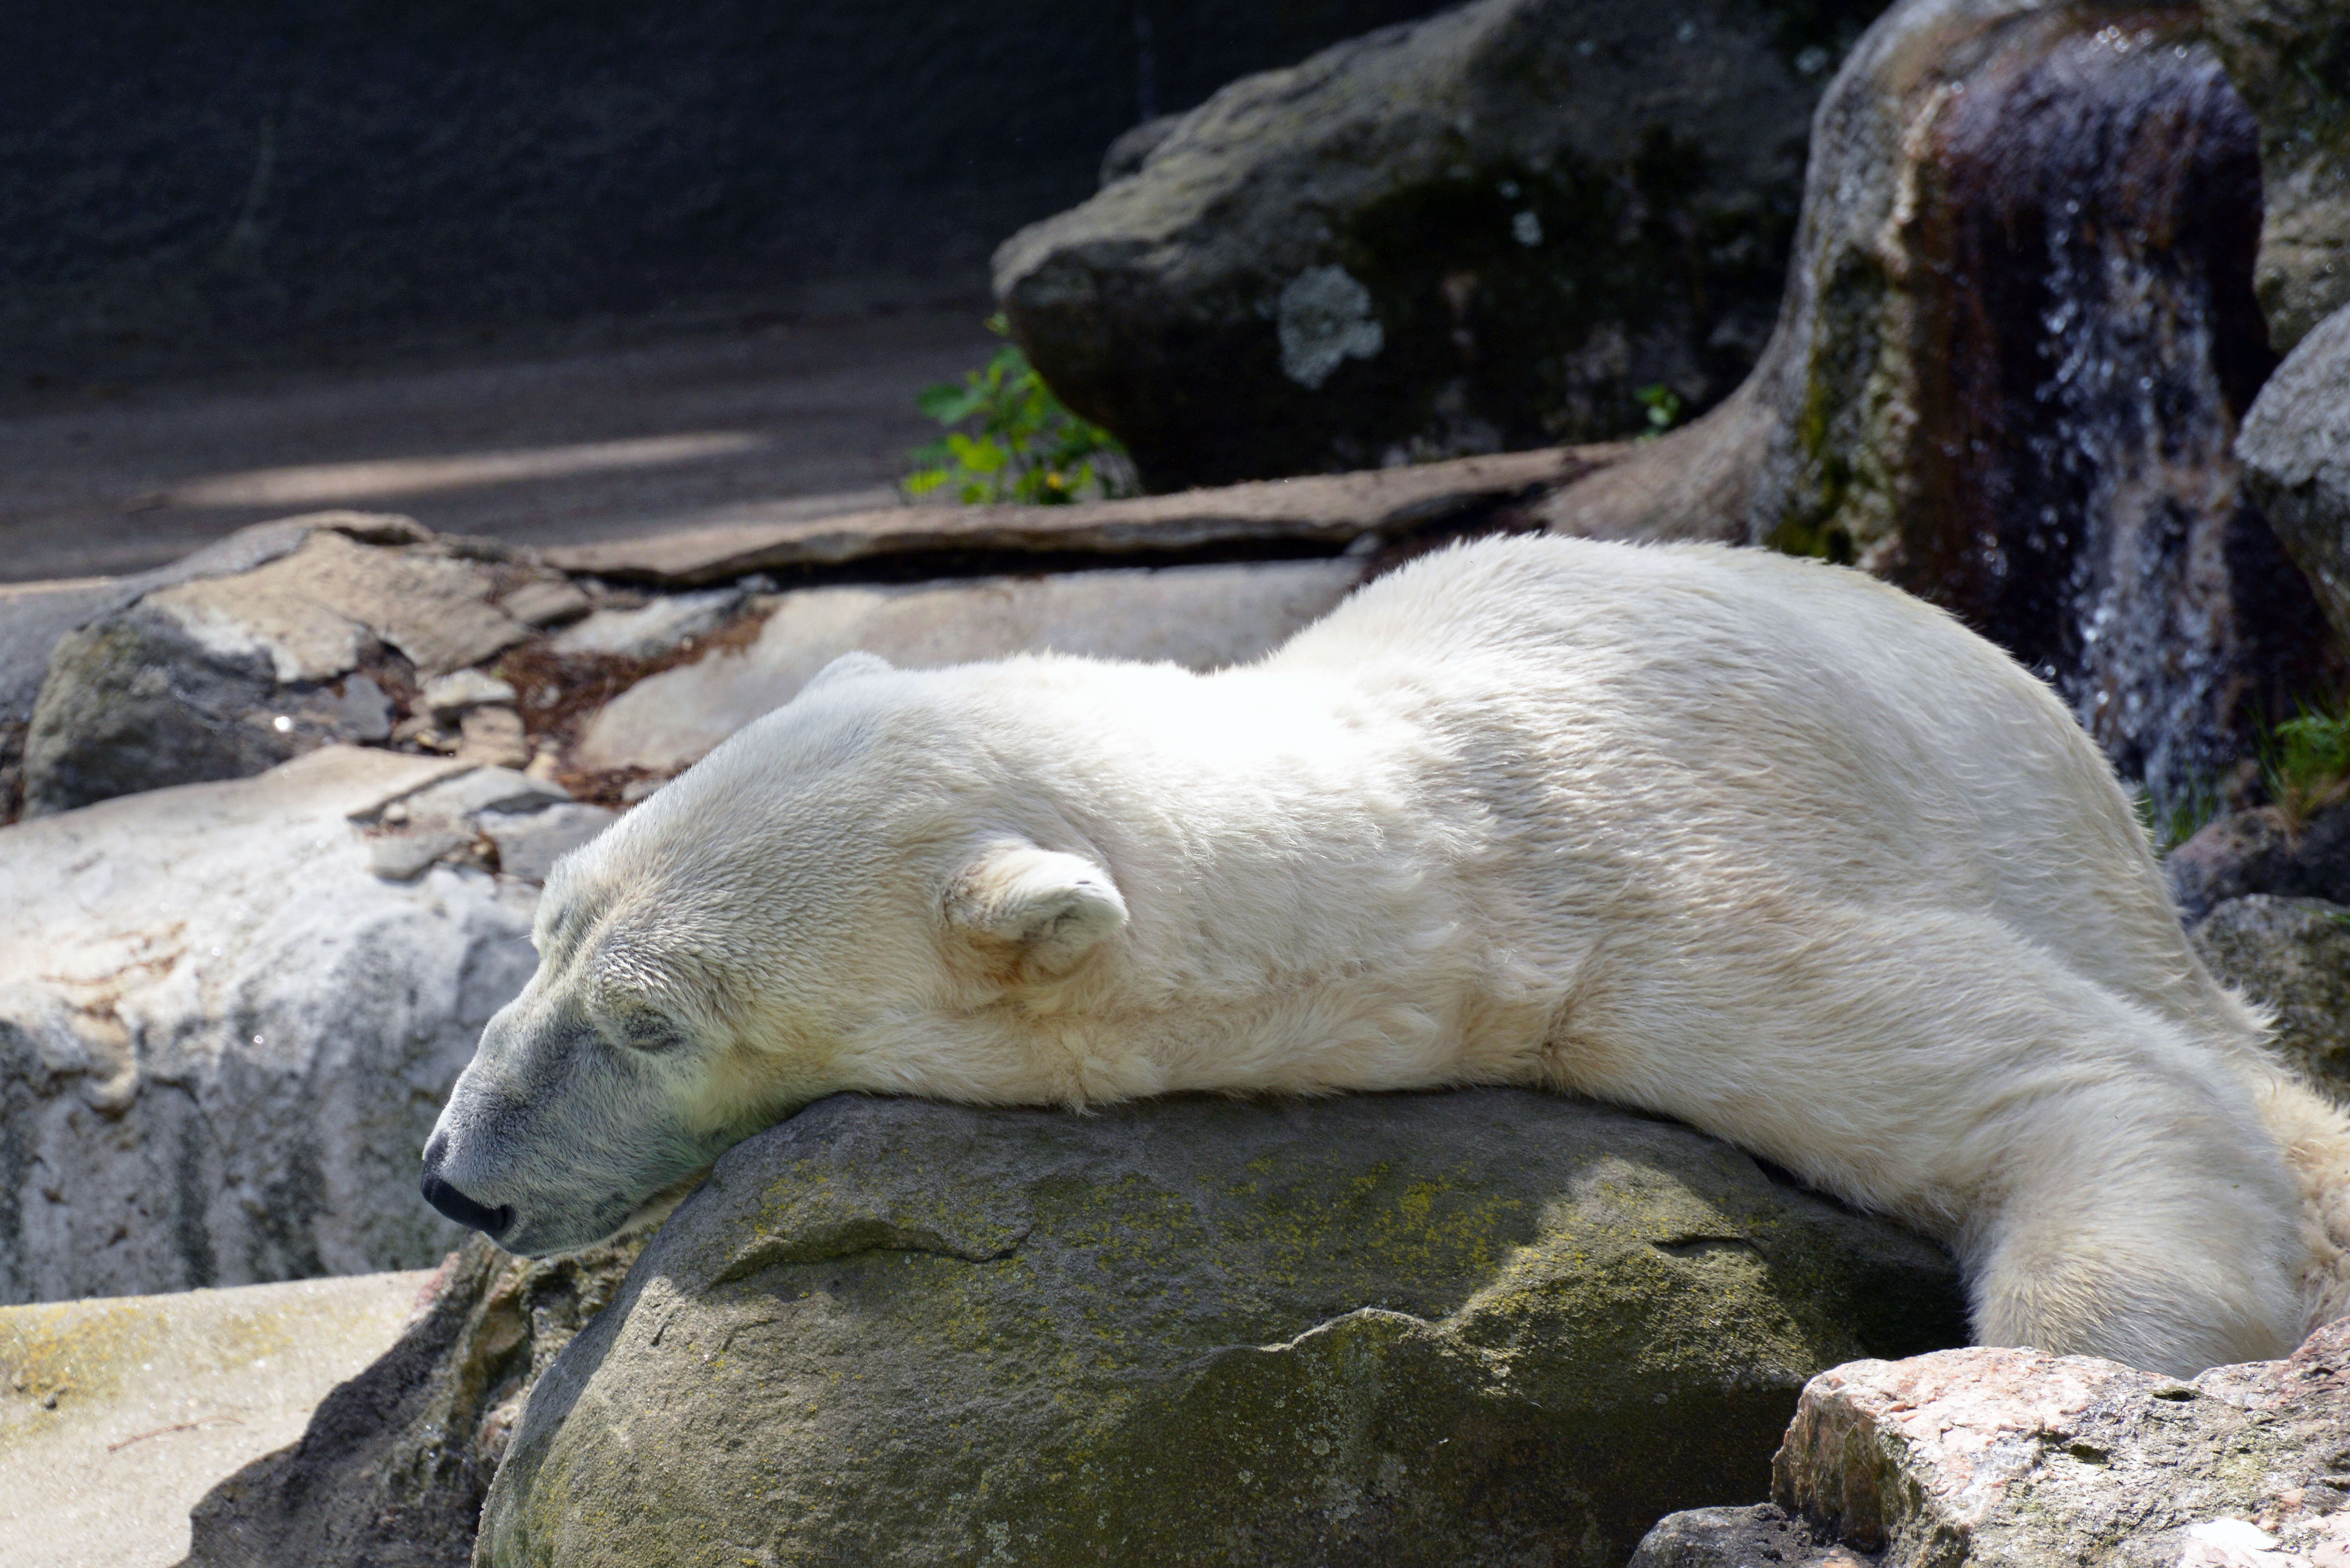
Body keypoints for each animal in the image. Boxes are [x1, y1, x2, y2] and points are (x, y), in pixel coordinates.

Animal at [423, 536, 2350, 1373]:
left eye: (651, 1023)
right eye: (548, 919)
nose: (452, 1179)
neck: (1435, 809)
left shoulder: (1669, 906)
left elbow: (2075, 1080)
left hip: (2041, 835)